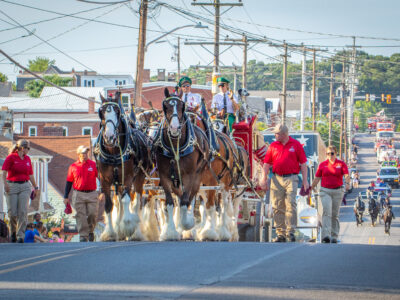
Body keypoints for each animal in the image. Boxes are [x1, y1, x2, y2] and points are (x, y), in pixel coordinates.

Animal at [94, 92, 152, 241]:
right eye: (101, 112)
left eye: (118, 111)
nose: (109, 137)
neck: (113, 152)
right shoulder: (105, 180)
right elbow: (109, 205)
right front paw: (110, 233)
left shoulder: (128, 177)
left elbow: (127, 200)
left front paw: (127, 226)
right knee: (119, 201)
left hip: (140, 178)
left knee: (137, 202)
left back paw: (136, 232)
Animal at [152, 88, 211, 240]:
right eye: (165, 106)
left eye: (181, 106)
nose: (174, 127)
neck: (175, 145)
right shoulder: (164, 176)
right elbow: (170, 203)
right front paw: (171, 232)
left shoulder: (189, 175)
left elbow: (186, 201)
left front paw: (187, 224)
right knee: (179, 197)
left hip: (197, 176)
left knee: (191, 197)